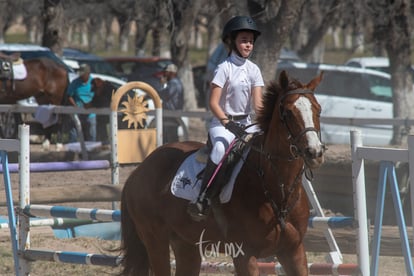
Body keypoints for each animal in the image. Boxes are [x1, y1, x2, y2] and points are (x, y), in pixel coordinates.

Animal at [121, 71, 326, 276]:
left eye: (318, 110)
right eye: (288, 113)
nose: (315, 152)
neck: (277, 191)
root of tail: (139, 170)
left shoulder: (293, 251)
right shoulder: (244, 255)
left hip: (186, 244)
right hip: (156, 241)